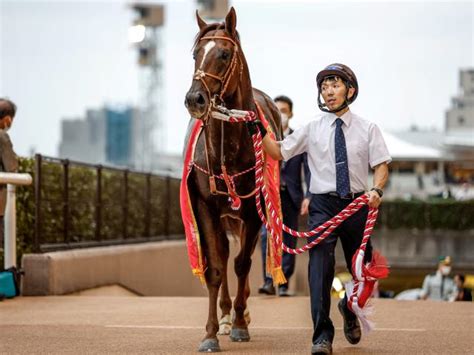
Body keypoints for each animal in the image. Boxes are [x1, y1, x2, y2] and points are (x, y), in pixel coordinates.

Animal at [184, 6, 282, 354]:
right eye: (196, 53)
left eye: (224, 54)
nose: (195, 99)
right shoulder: (204, 207)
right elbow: (216, 267)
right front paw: (212, 332)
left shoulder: (253, 211)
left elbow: (242, 264)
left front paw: (240, 323)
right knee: (224, 253)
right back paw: (226, 315)